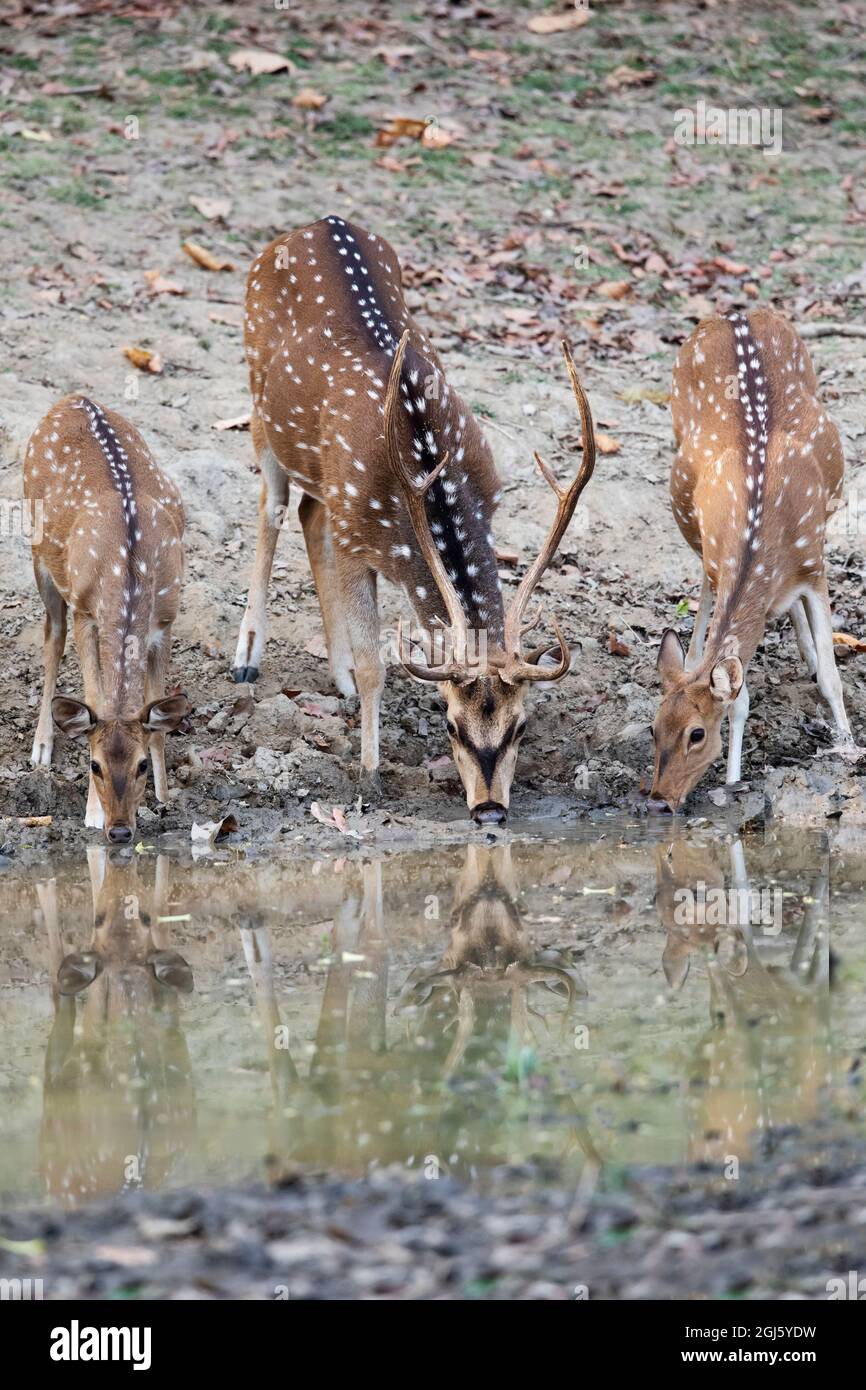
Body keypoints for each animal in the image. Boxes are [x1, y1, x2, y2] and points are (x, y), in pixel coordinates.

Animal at [23, 395, 190, 842]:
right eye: (93, 764)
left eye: (141, 765)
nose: (119, 831)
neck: (130, 567)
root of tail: (73, 398)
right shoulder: (86, 611)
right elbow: (96, 698)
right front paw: (91, 813)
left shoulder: (164, 619)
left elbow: (157, 714)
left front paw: (165, 798)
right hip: (39, 553)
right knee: (52, 635)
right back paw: (41, 747)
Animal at [233, 215, 596, 824]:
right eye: (450, 724)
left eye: (520, 726)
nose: (489, 811)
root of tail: (318, 223)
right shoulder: (354, 536)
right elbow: (375, 663)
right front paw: (369, 775)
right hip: (261, 405)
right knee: (272, 506)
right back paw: (247, 657)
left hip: (320, 471)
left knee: (308, 510)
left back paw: (336, 676)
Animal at [649, 307, 860, 812]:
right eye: (652, 729)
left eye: (696, 734)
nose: (658, 801)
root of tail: (735, 312)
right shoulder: (718, 559)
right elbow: (738, 692)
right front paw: (733, 779)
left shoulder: (814, 565)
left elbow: (832, 676)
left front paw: (846, 744)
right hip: (688, 512)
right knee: (706, 598)